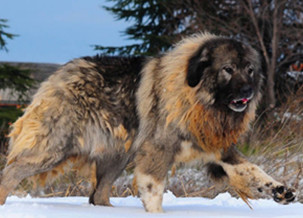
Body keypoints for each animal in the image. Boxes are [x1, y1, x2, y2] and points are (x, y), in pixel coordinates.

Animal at [0, 33, 296, 212]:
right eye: (228, 69)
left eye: (250, 70)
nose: (248, 91)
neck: (196, 96)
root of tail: (59, 74)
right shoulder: (158, 150)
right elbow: (154, 189)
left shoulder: (219, 149)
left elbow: (254, 171)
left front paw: (280, 191)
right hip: (52, 149)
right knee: (11, 172)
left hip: (116, 156)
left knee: (98, 194)